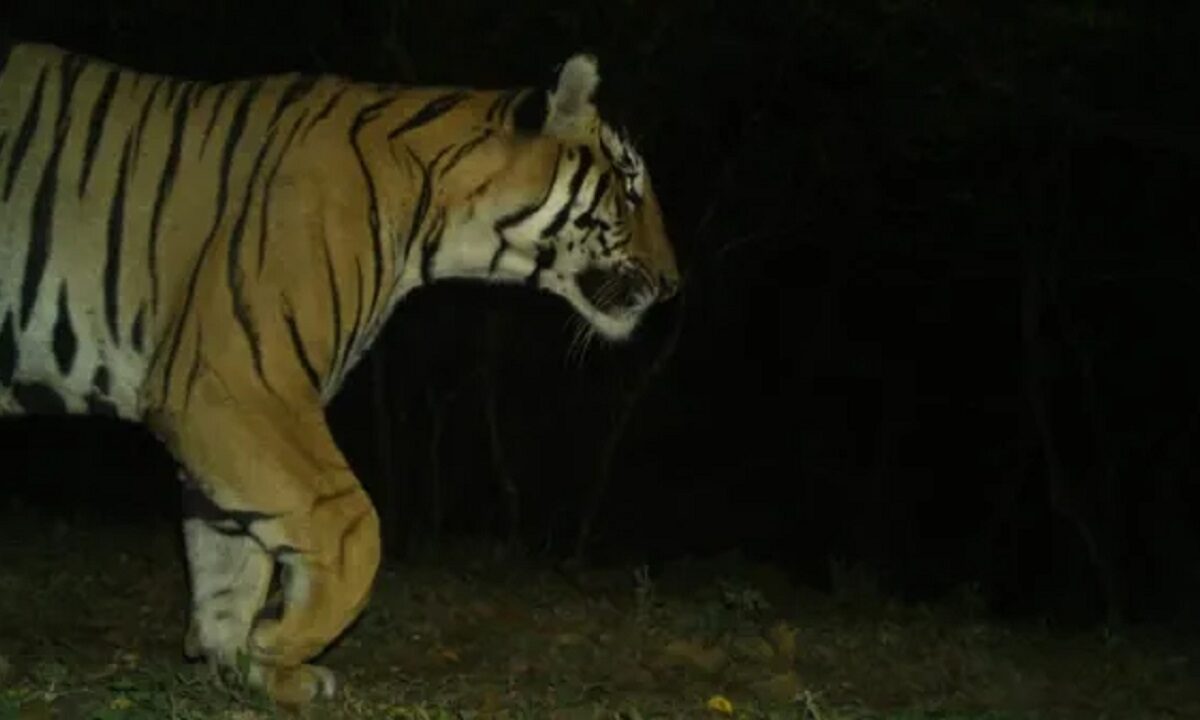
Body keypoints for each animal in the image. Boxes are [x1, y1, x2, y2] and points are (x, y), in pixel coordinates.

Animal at [0, 37, 678, 705]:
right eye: (630, 185)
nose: (674, 283)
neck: (439, 221)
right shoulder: (235, 383)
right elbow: (353, 527)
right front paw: (280, 639)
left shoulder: (230, 415)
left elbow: (229, 559)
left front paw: (248, 663)